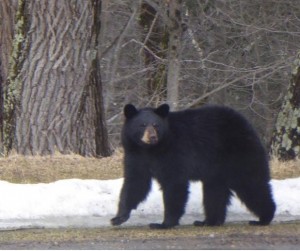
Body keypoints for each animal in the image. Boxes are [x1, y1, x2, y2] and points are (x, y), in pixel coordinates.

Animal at [110, 103, 276, 228]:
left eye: (156, 125)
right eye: (142, 125)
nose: (152, 137)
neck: (150, 150)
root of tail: (245, 123)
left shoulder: (175, 153)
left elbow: (174, 185)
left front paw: (163, 223)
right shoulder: (135, 156)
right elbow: (135, 184)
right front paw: (118, 218)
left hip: (238, 155)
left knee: (251, 184)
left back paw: (263, 218)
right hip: (217, 169)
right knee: (215, 191)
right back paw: (208, 221)